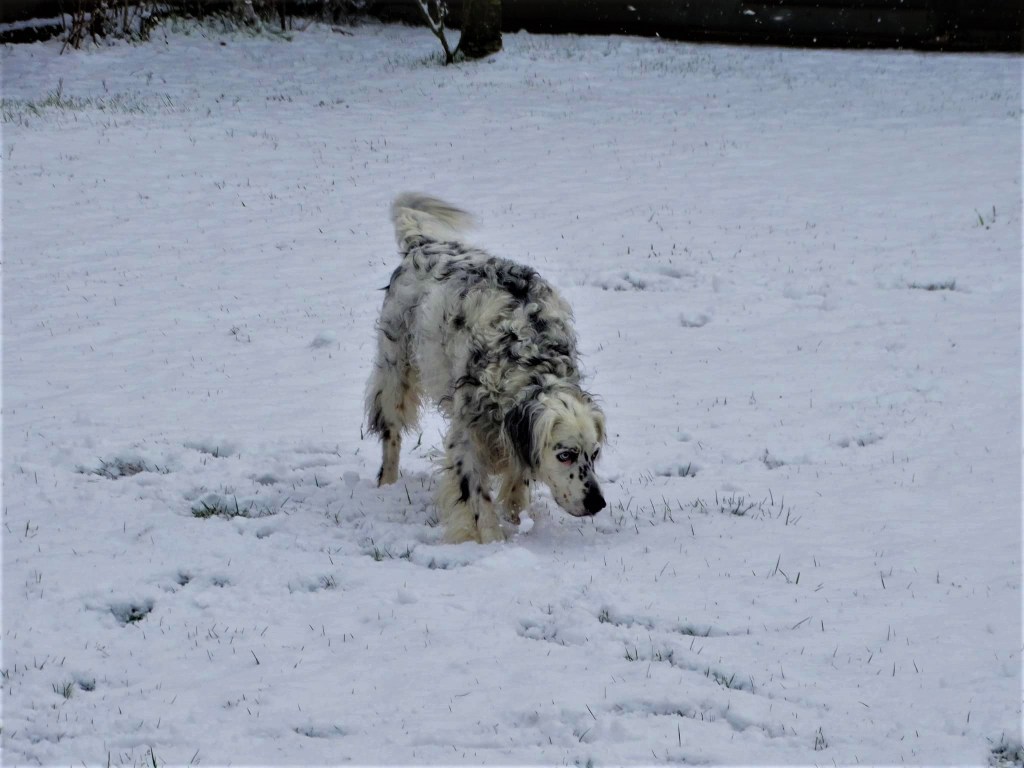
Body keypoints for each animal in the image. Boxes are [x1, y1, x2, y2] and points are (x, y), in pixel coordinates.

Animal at [365, 193, 607, 543]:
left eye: (595, 453)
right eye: (566, 455)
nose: (597, 503)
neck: (526, 362)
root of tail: (423, 244)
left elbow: (517, 482)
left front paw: (516, 519)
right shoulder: (467, 436)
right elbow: (476, 496)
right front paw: (491, 540)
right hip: (396, 371)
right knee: (391, 435)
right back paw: (387, 484)